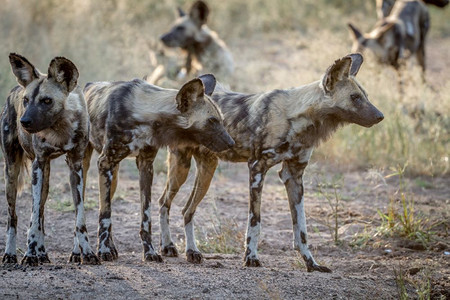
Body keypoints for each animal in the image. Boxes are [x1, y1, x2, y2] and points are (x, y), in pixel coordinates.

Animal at [0, 54, 99, 264]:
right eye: (26, 100)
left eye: (47, 100)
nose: (24, 122)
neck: (59, 127)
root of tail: (15, 88)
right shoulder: (38, 164)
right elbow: (33, 216)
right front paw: (29, 254)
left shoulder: (76, 167)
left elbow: (79, 216)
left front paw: (87, 252)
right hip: (12, 172)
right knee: (14, 217)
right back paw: (11, 254)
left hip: (45, 177)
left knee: (42, 212)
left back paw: (43, 253)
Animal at [83, 74, 236, 262]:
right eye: (212, 121)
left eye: (221, 120)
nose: (231, 143)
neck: (144, 116)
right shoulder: (106, 162)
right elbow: (105, 216)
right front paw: (103, 251)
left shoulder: (146, 166)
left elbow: (146, 217)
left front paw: (150, 252)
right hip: (91, 167)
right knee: (93, 208)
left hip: (121, 175)